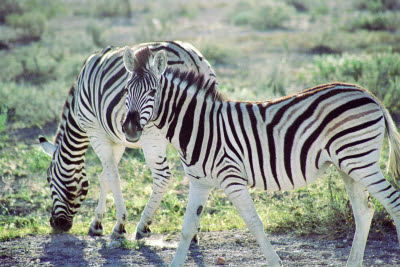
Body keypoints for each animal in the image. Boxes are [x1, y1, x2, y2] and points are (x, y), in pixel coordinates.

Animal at [39, 40, 217, 240]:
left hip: (152, 136)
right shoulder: (116, 140)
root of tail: (190, 56)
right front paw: (97, 223)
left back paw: (143, 225)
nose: (56, 225)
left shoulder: (96, 133)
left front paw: (119, 225)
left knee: (162, 176)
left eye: (48, 178)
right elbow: (104, 176)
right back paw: (194, 231)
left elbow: (113, 176)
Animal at [121, 46, 400, 267]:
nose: (131, 128)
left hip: (360, 160)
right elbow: (187, 229)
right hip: (347, 166)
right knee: (364, 211)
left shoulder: (232, 179)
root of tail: (367, 93)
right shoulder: (199, 183)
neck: (199, 125)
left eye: (152, 92)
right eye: (125, 91)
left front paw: (275, 262)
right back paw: (353, 262)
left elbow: (255, 224)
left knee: (392, 201)